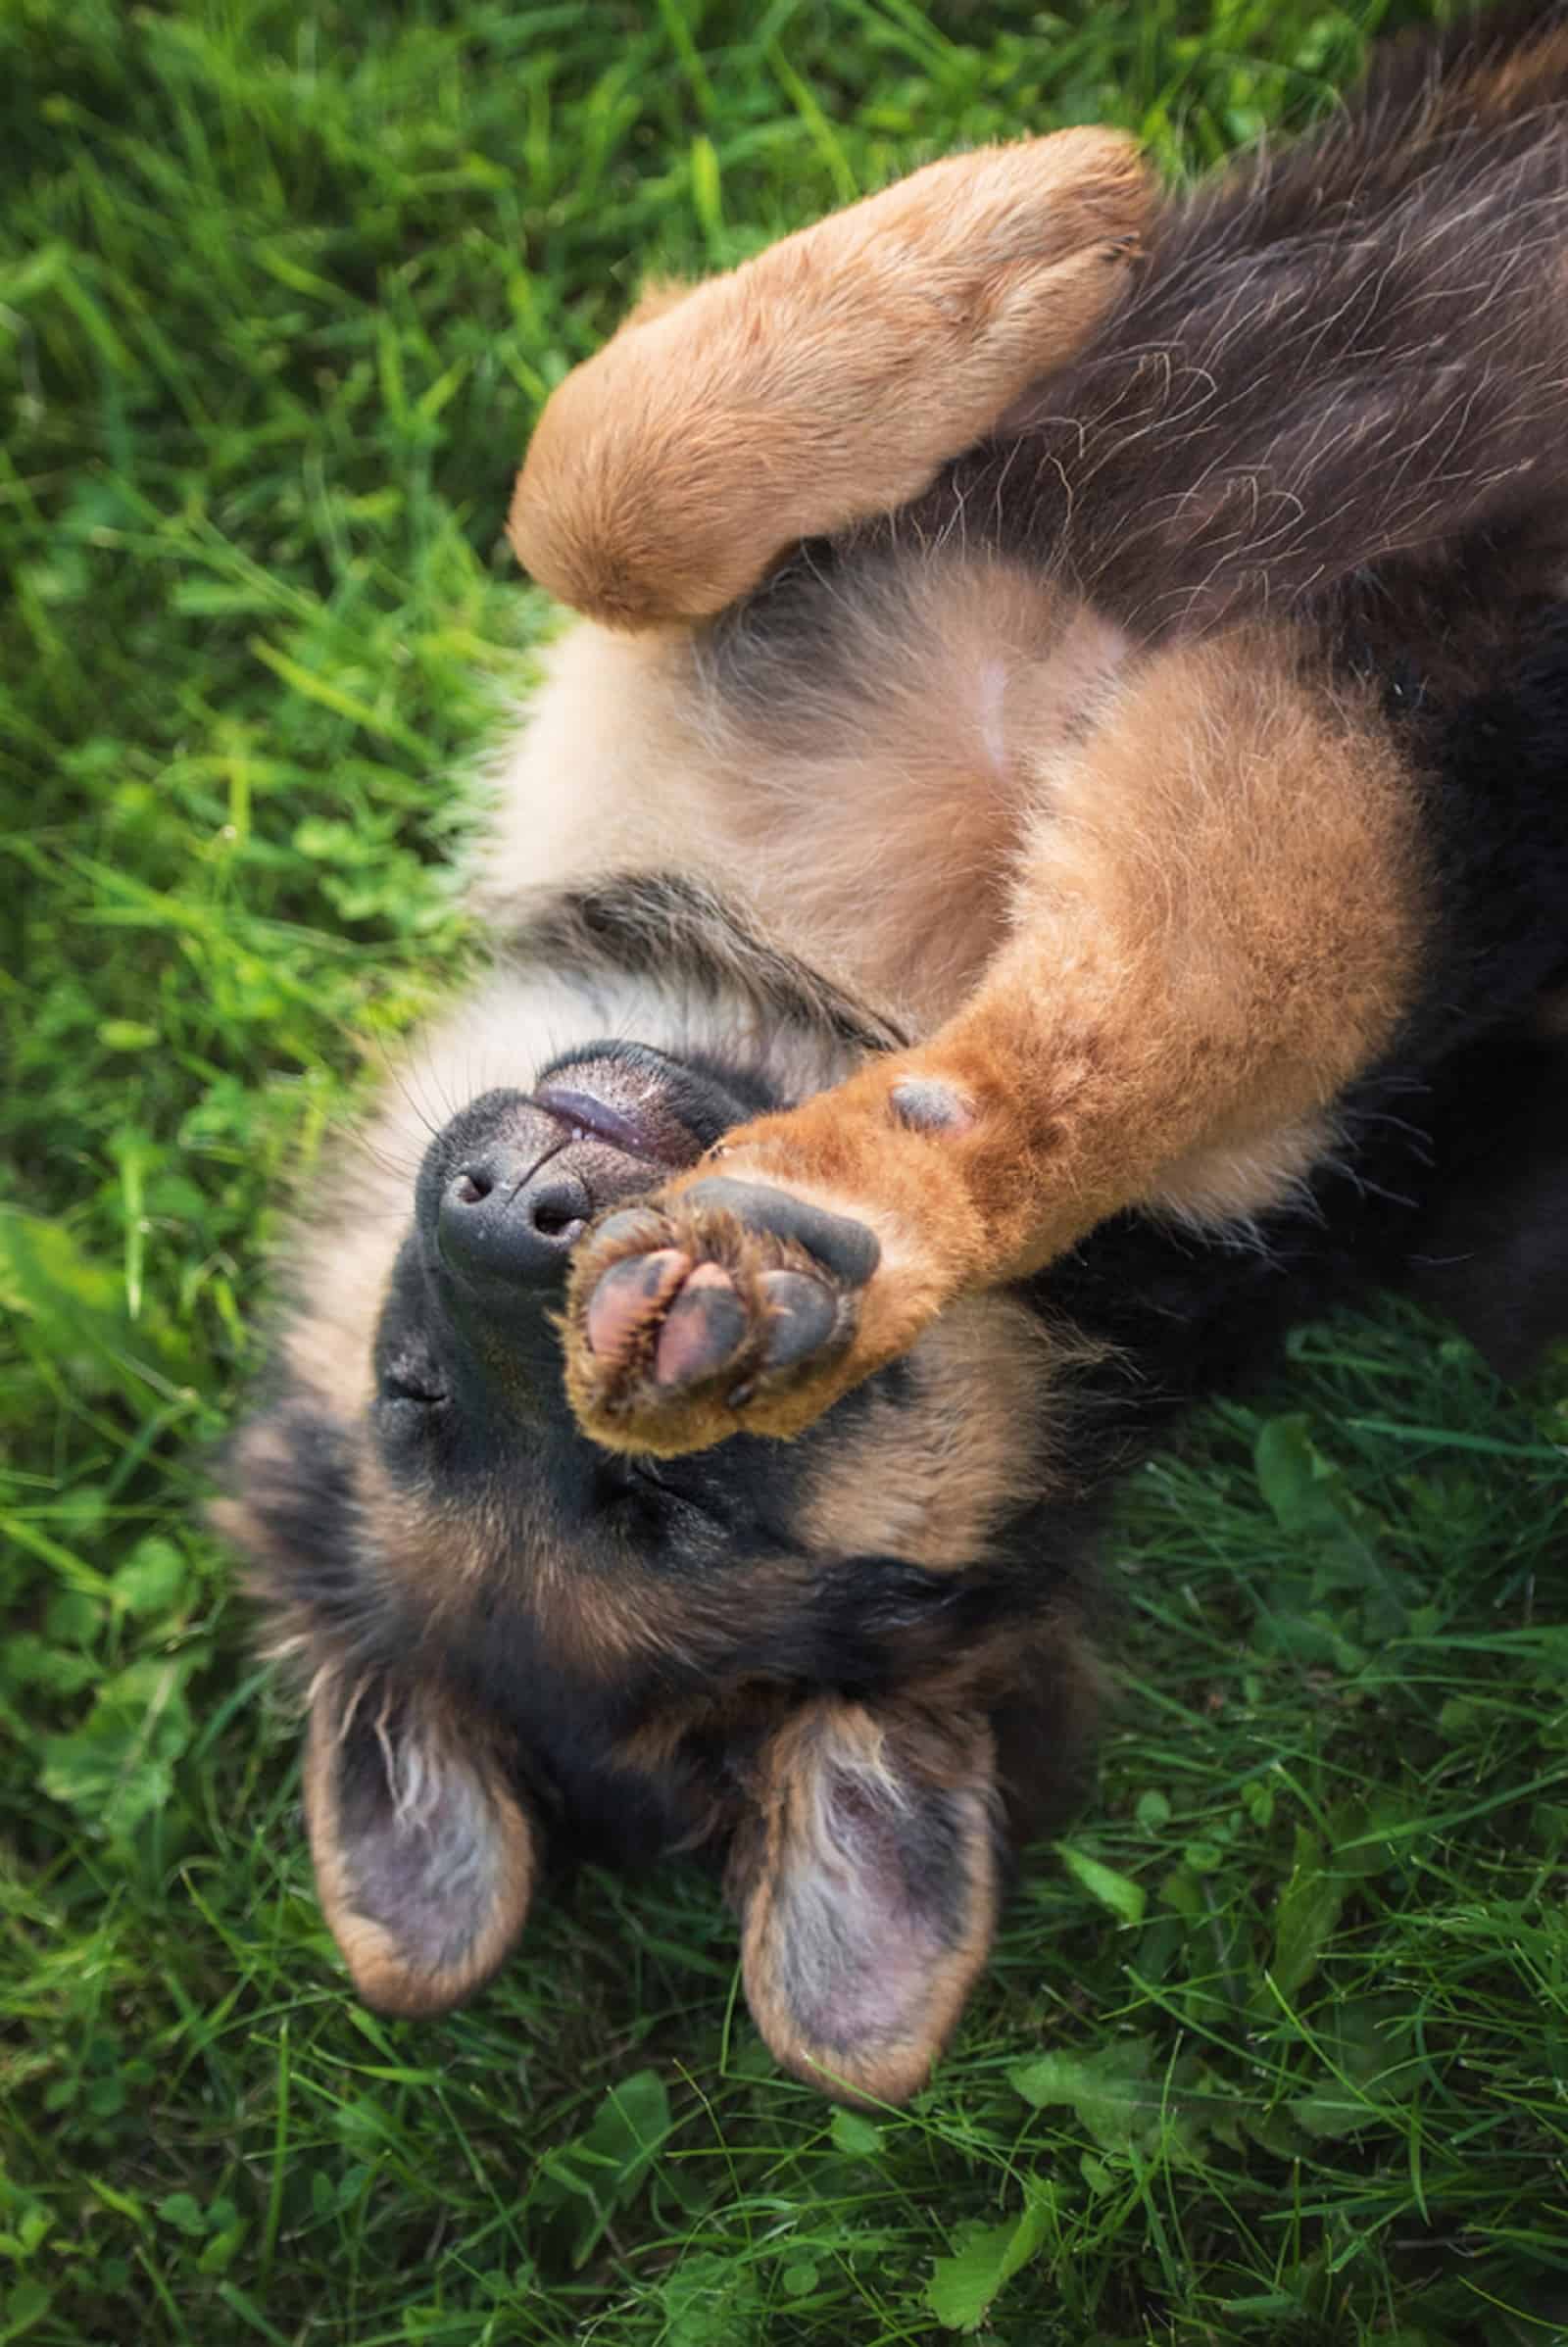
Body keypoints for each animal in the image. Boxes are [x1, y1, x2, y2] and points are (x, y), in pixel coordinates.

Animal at [215, 14, 1568, 2112]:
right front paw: (829, 1229)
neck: (842, 989)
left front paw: (1015, 234)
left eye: (409, 1397)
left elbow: (585, 485)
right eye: (658, 1510)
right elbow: (1124, 1039)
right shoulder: (1366, 876)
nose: (523, 1214)